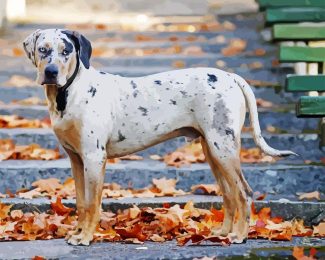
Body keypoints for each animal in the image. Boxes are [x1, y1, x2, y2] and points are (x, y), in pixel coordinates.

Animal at [22, 29, 296, 246]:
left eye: (66, 50)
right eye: (43, 50)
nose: (50, 72)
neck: (69, 93)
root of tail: (231, 77)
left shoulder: (93, 158)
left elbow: (92, 204)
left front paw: (86, 237)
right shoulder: (76, 160)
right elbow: (81, 202)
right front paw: (77, 233)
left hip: (223, 148)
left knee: (244, 193)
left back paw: (239, 235)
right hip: (212, 150)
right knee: (229, 194)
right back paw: (222, 232)